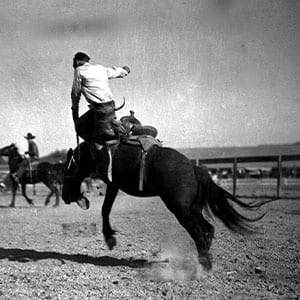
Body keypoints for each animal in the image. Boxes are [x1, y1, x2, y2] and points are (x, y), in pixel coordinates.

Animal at [62, 114, 264, 270]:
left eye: (67, 171)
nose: (64, 196)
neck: (100, 150)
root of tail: (193, 168)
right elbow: (106, 209)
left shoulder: (113, 184)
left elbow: (105, 209)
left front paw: (110, 239)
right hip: (193, 209)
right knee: (207, 229)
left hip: (180, 209)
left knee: (198, 231)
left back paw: (203, 266)